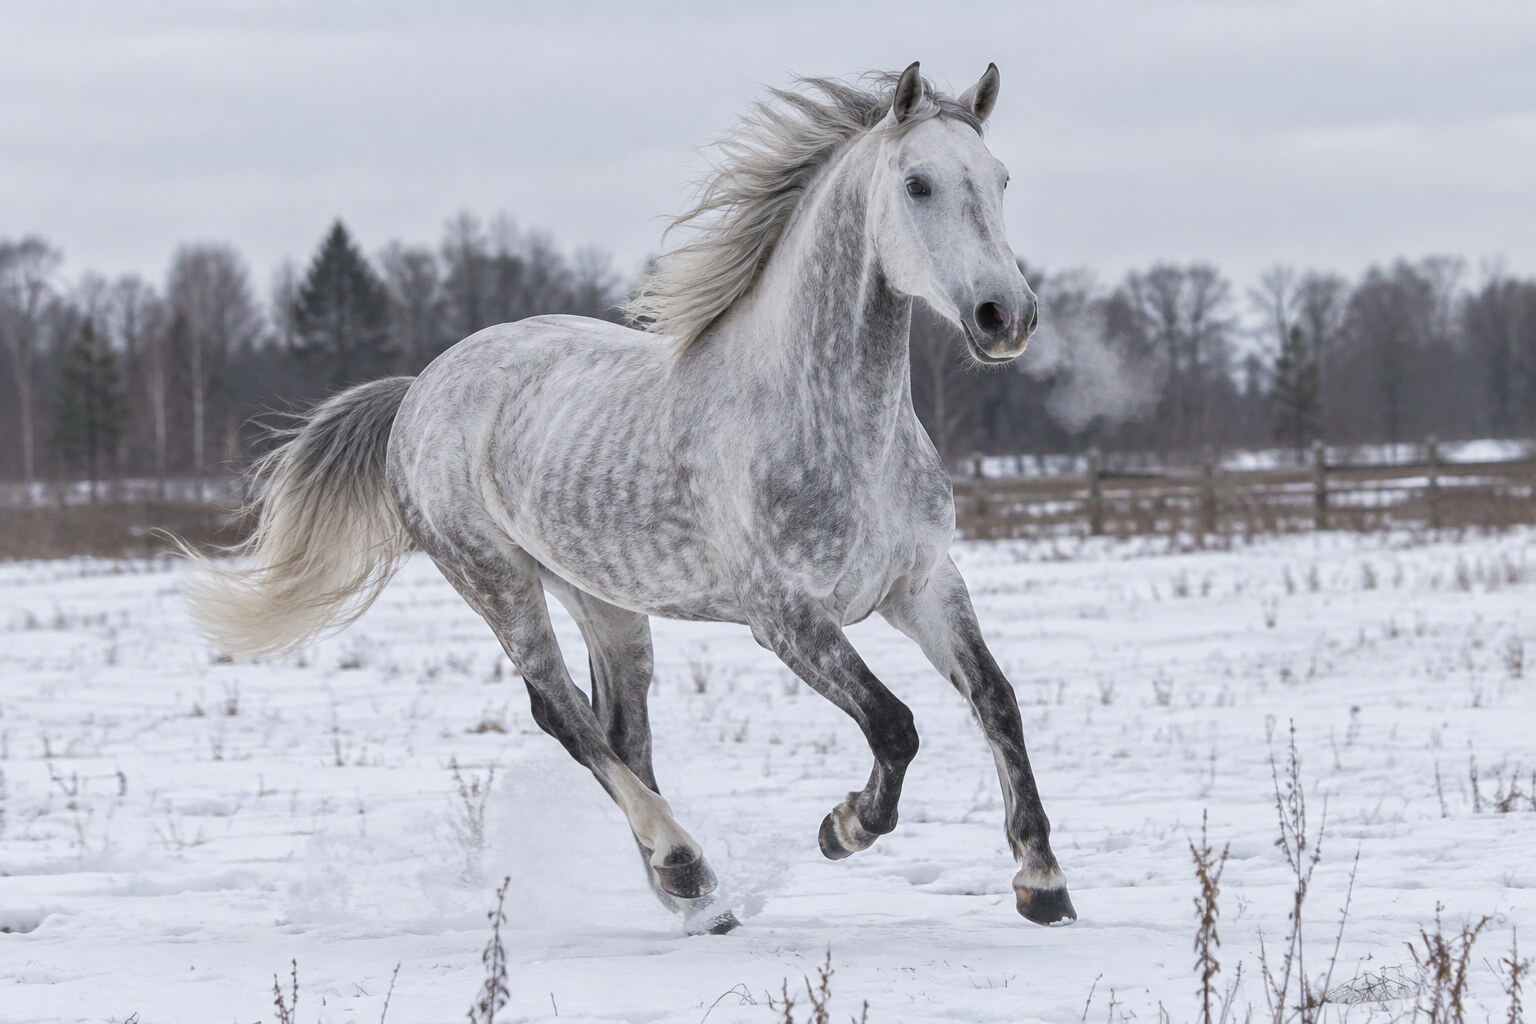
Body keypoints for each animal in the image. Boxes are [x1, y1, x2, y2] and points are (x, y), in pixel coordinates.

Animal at [183, 61, 1075, 934]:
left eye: (999, 178)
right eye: (919, 184)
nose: (1005, 316)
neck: (835, 425)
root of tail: (421, 388)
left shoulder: (922, 585)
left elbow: (997, 701)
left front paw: (1043, 886)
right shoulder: (786, 617)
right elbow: (895, 725)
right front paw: (842, 828)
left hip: (604, 598)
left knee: (622, 728)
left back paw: (695, 900)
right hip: (496, 581)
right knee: (565, 717)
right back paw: (685, 867)